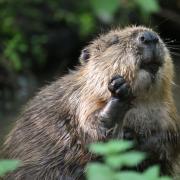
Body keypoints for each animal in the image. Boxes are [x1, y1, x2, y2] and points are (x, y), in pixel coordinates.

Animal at [2, 26, 180, 179]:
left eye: (156, 33)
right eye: (114, 41)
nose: (149, 37)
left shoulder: (166, 113)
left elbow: (170, 139)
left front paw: (139, 139)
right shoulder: (79, 103)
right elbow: (94, 131)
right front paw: (119, 89)